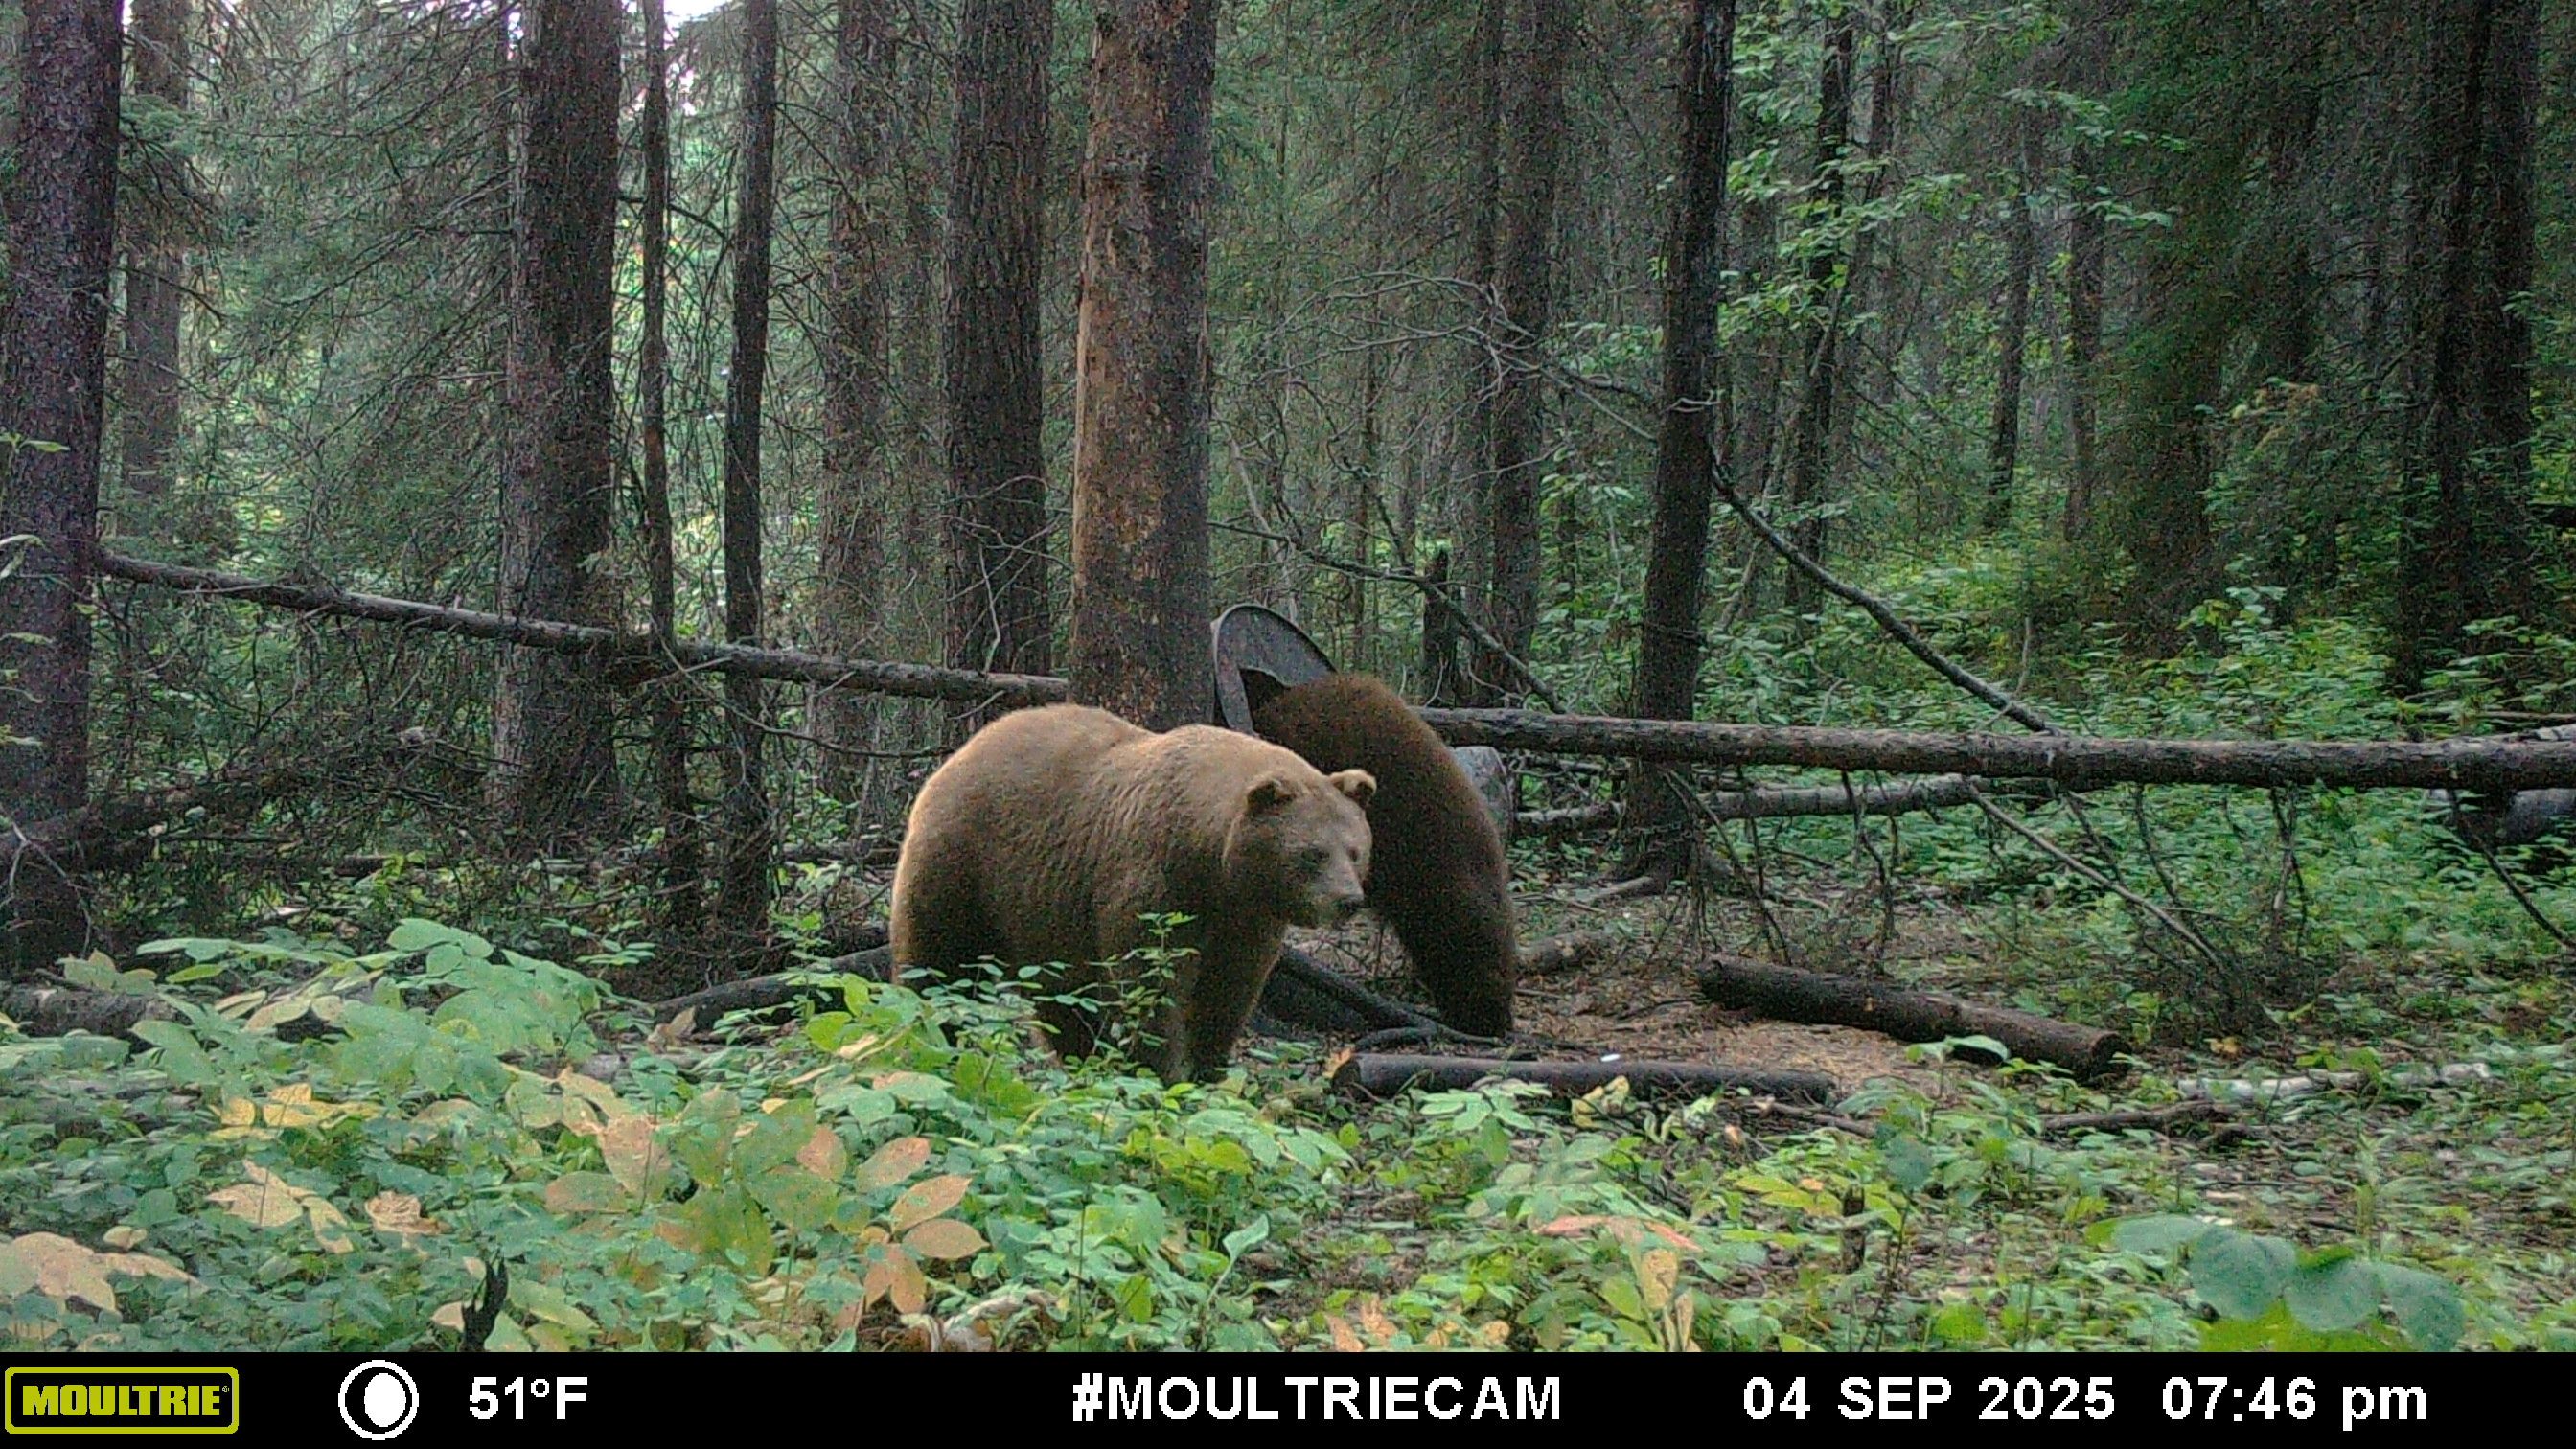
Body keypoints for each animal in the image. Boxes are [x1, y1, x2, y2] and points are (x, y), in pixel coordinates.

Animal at [889, 702, 1377, 1083]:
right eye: (1313, 853)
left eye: (1355, 850)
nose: (1348, 901)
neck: (1210, 860)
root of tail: (958, 754)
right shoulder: (1153, 880)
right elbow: (1149, 981)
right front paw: (1162, 1071)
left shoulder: (1245, 917)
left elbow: (1227, 991)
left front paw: (1206, 1067)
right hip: (967, 861)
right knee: (939, 959)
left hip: (1045, 916)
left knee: (1064, 1001)